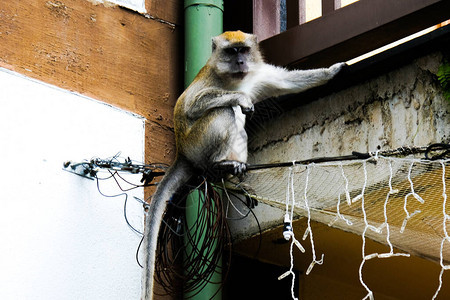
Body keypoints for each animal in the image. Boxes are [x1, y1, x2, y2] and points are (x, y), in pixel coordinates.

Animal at [142, 30, 346, 298]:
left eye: (244, 50)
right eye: (231, 51)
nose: (240, 62)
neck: (234, 78)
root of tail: (182, 152)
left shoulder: (258, 75)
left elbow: (288, 82)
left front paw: (334, 70)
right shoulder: (210, 80)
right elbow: (193, 106)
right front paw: (241, 98)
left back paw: (230, 181)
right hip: (198, 144)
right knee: (224, 112)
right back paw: (219, 165)